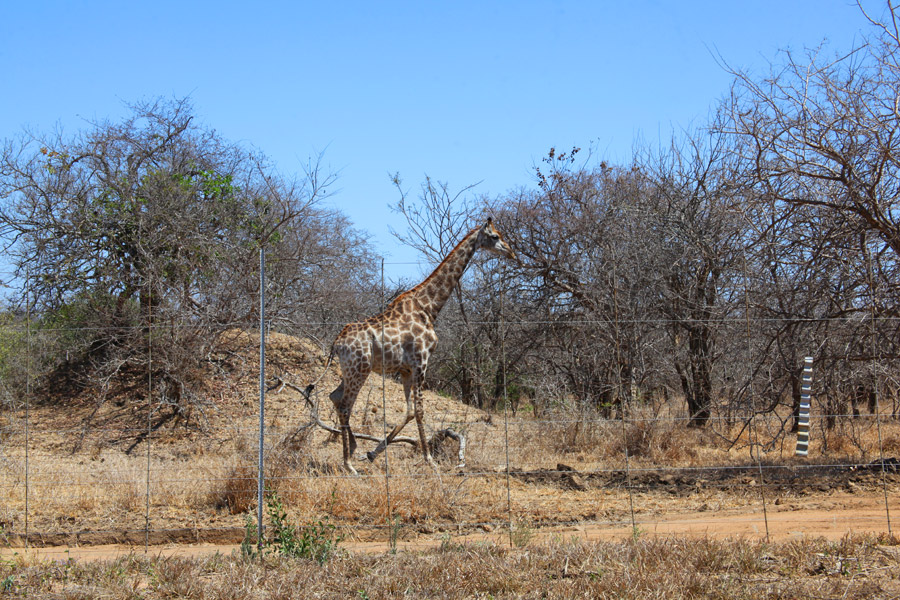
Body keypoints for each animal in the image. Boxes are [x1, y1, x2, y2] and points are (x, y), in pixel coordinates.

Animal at [314, 218, 512, 476]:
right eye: (495, 236)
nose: (511, 251)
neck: (429, 307)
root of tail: (337, 342)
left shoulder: (406, 370)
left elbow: (408, 411)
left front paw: (373, 453)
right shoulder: (421, 362)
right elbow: (419, 410)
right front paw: (429, 459)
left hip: (350, 371)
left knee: (335, 397)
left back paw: (355, 450)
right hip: (360, 369)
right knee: (346, 405)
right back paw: (348, 464)